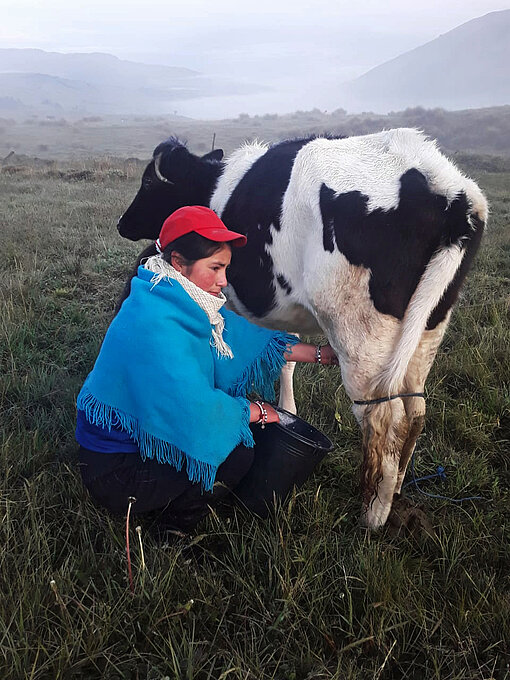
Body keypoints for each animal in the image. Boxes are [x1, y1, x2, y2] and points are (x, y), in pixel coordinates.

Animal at [117, 129, 488, 532]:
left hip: (362, 339)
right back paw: (397, 491)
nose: (122, 223)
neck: (212, 185)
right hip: (424, 332)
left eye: (148, 181)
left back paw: (373, 514)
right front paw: (287, 409)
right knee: (416, 411)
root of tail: (447, 187)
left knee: (385, 420)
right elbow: (285, 356)